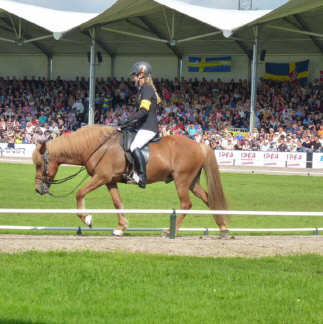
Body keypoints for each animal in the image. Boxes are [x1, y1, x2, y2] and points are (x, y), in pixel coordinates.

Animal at [33, 125, 230, 237]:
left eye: (39, 164)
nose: (37, 189)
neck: (97, 146)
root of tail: (198, 144)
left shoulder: (100, 177)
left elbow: (80, 193)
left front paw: (87, 218)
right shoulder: (109, 181)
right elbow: (117, 203)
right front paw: (121, 227)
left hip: (181, 181)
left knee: (186, 204)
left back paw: (170, 231)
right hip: (192, 182)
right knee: (208, 199)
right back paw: (223, 228)